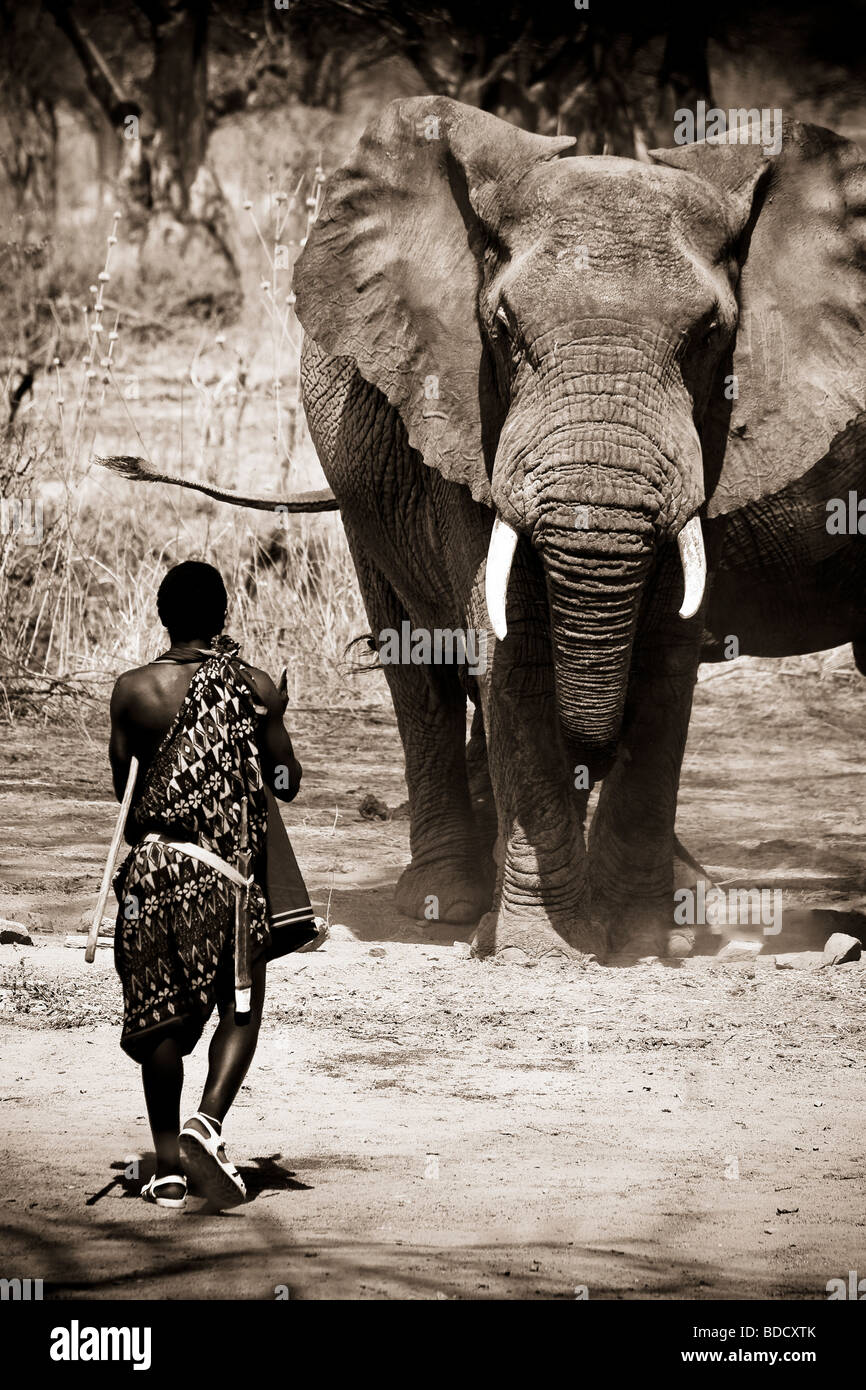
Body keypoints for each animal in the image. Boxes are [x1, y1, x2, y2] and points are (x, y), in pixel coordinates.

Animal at [107, 97, 866, 967]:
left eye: (711, 332)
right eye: (501, 327)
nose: (591, 748)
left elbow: (667, 650)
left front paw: (642, 939)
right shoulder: (463, 411)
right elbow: (516, 646)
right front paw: (546, 947)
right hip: (366, 486)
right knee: (419, 667)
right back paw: (447, 903)